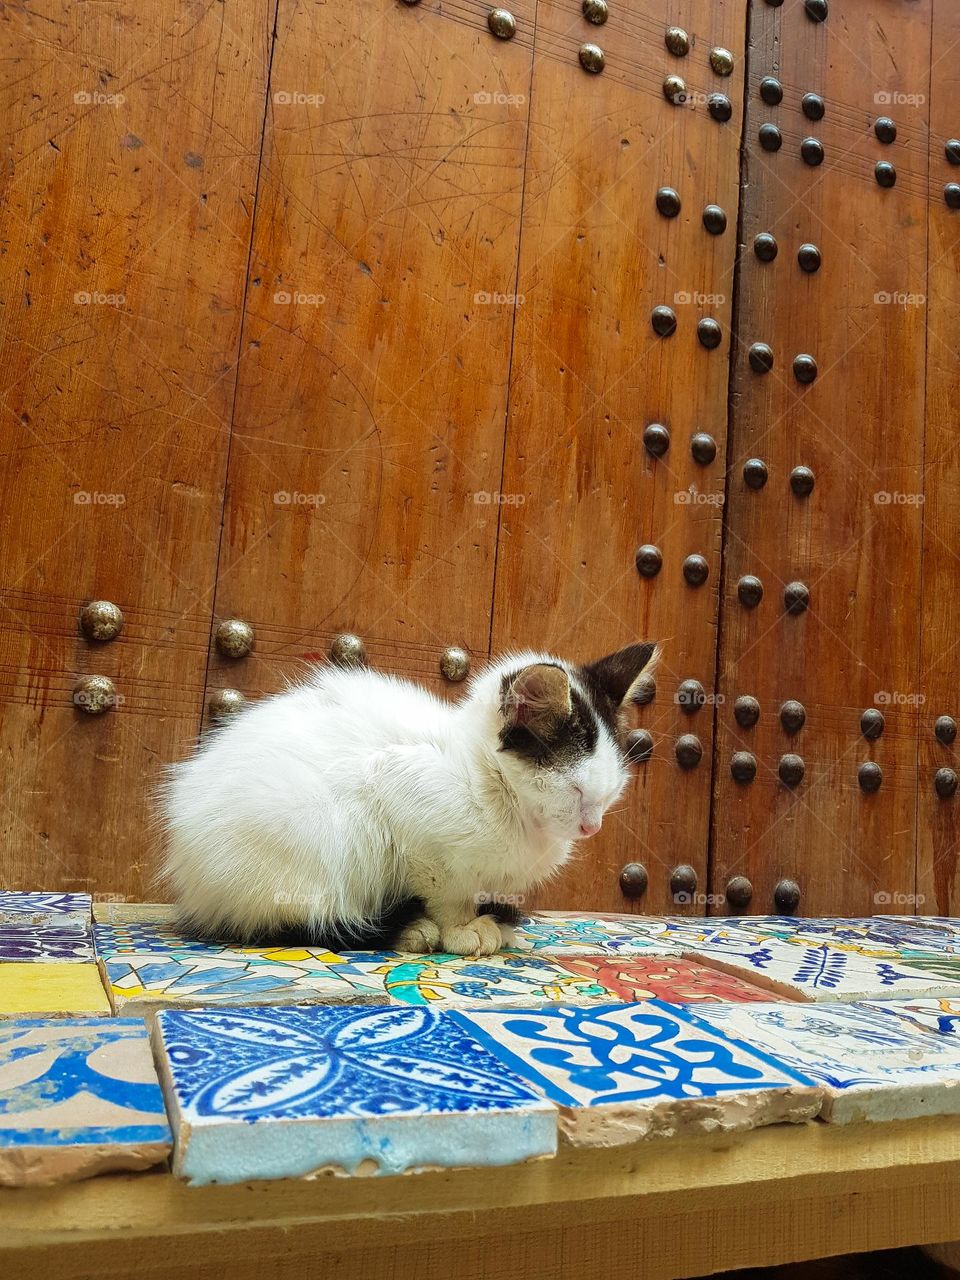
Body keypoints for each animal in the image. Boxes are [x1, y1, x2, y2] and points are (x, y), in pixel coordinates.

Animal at [163, 640, 660, 952]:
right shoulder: (404, 804)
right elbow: (447, 891)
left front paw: (493, 920)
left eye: (609, 794)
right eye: (575, 790)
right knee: (295, 920)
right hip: (312, 839)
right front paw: (461, 929)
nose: (590, 826)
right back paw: (407, 930)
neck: (486, 779)